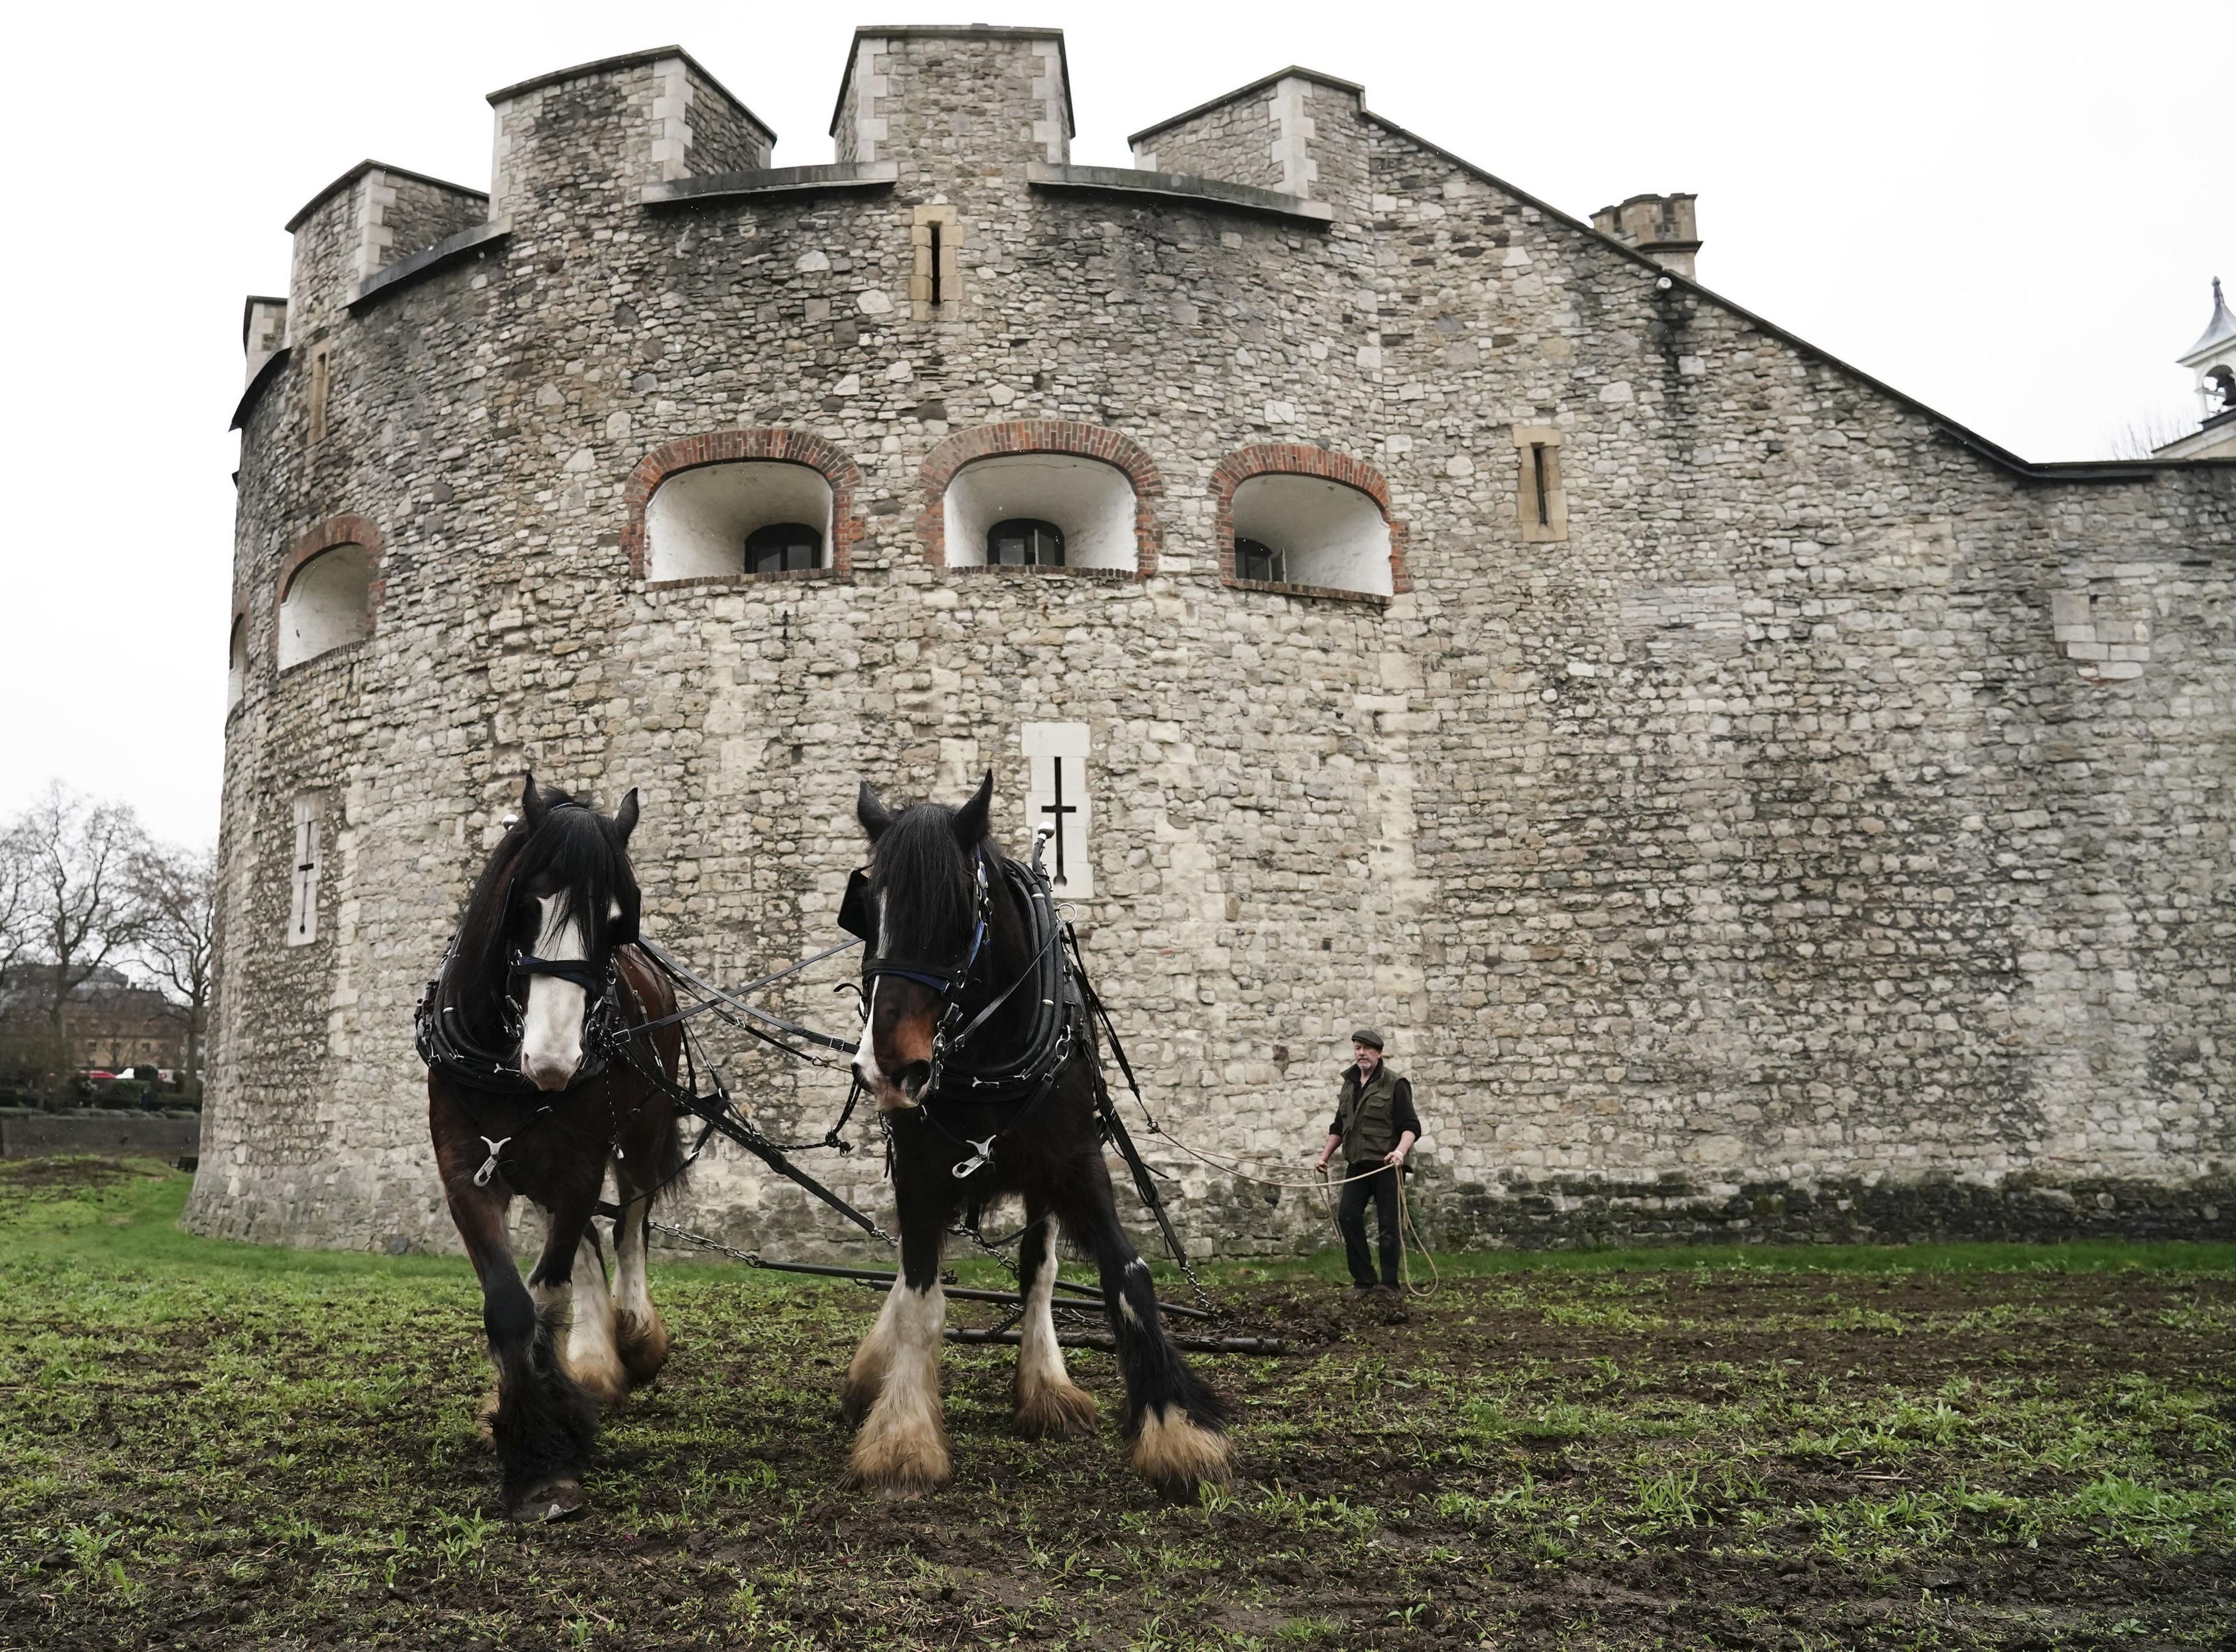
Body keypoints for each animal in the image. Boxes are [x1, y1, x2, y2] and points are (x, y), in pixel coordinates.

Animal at [420, 777, 680, 1529]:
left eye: (619, 922)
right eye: (526, 905)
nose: (556, 1062)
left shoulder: (579, 1165)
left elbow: (550, 1289)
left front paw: (546, 1451)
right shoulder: (466, 1171)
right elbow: (513, 1303)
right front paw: (528, 1435)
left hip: (642, 1133)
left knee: (629, 1221)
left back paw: (632, 1333)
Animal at [840, 773, 1234, 1502]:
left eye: (957, 911)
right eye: (866, 905)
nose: (887, 1066)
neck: (987, 1052)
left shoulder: (1076, 1162)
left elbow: (1124, 1274)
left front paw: (1175, 1428)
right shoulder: (918, 1170)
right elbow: (921, 1296)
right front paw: (903, 1436)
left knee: (1038, 1267)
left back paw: (1044, 1383)